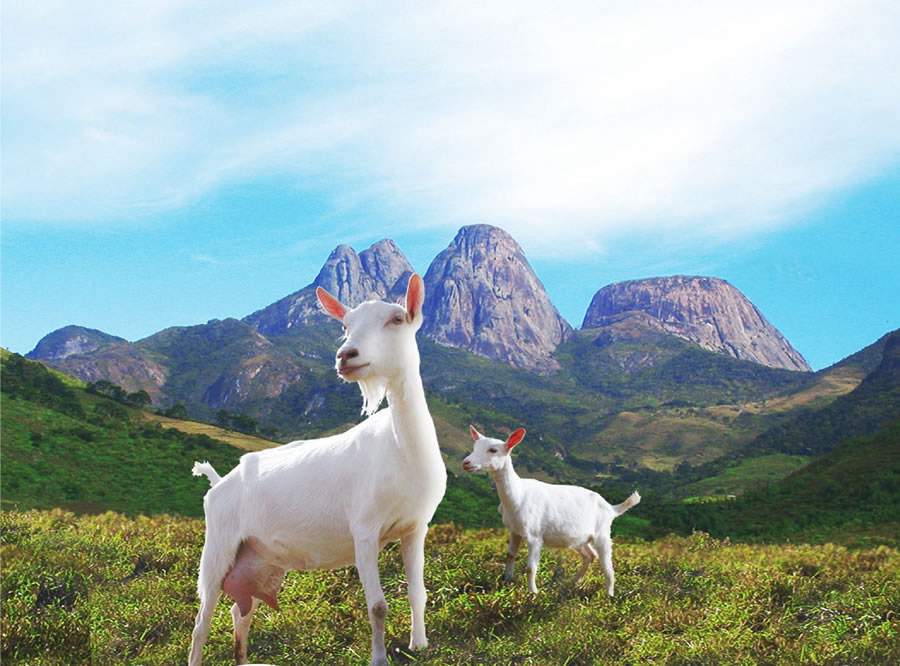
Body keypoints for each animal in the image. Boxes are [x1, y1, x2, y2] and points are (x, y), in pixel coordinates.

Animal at [188, 274, 447, 666]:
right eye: (345, 326)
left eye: (397, 319)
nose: (345, 356)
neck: (401, 449)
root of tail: (218, 484)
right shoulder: (364, 530)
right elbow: (377, 606)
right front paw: (379, 659)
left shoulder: (415, 527)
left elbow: (418, 592)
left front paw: (420, 645)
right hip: (219, 543)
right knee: (202, 620)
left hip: (259, 557)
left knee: (240, 609)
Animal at [462, 426, 639, 596]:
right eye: (474, 447)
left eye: (493, 450)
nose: (466, 463)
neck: (518, 494)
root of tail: (612, 508)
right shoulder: (515, 530)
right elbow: (510, 555)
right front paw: (507, 581)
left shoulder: (535, 535)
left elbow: (530, 567)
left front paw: (533, 593)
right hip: (580, 538)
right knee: (590, 555)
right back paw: (572, 582)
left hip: (602, 532)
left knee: (608, 567)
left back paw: (609, 595)